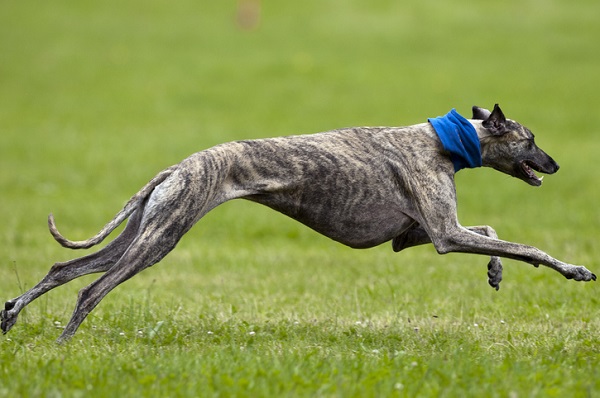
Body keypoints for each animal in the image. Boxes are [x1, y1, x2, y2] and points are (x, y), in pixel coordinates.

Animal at [1, 104, 596, 340]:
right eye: (531, 139)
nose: (555, 165)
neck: (445, 141)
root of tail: (178, 166)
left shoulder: (415, 236)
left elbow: (494, 233)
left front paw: (495, 272)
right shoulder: (445, 236)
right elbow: (526, 246)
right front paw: (574, 270)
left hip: (144, 230)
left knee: (61, 270)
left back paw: (11, 318)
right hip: (159, 240)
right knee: (90, 289)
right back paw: (64, 343)